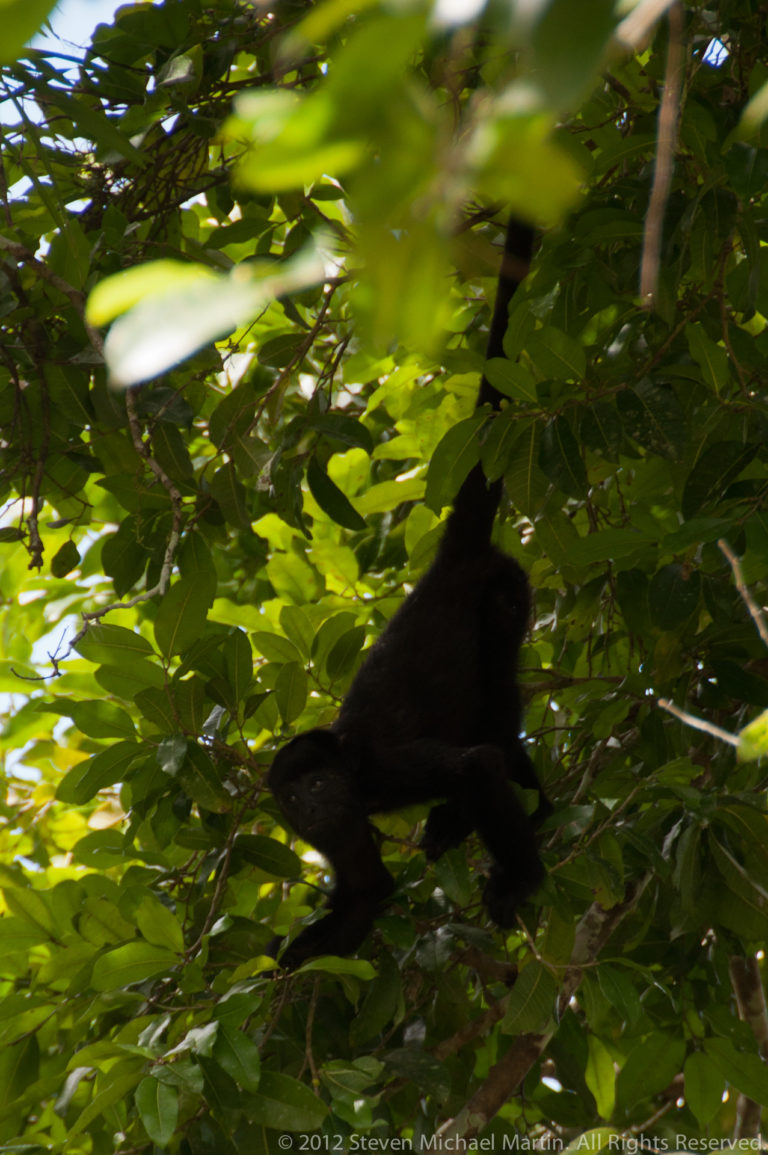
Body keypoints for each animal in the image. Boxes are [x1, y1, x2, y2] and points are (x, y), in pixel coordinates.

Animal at [268, 217, 550, 969]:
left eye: (318, 784)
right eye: (294, 798)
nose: (311, 804)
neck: (351, 777)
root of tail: (450, 561)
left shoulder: (384, 772)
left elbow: (475, 765)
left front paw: (520, 877)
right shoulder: (333, 830)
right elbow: (368, 889)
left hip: (505, 590)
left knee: (497, 699)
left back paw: (514, 800)